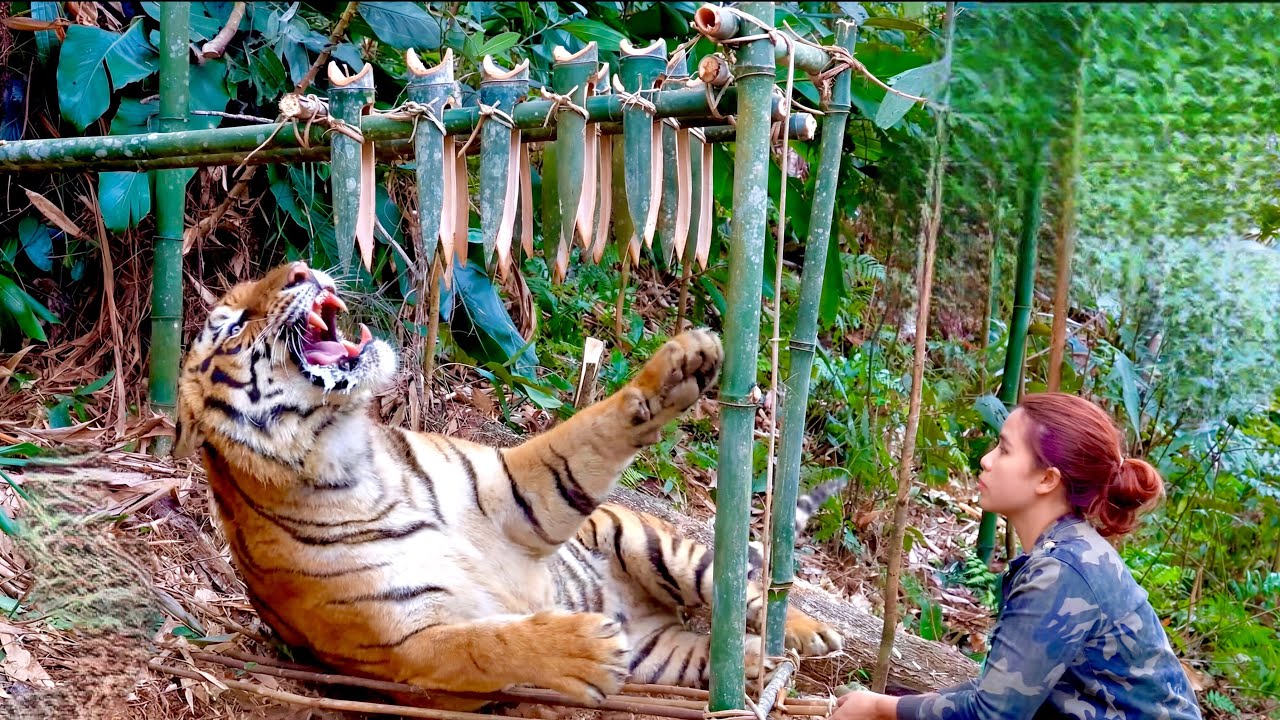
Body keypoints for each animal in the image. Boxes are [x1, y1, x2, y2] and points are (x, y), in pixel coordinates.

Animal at [173, 261, 844, 709]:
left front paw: (677, 367)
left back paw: (809, 634)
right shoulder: (404, 651)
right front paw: (582, 648)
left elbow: (589, 429)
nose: (302, 268)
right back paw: (753, 660)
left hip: (653, 543)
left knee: (741, 587)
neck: (352, 459)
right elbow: (487, 644)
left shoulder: (514, 494)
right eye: (231, 326)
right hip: (660, 655)